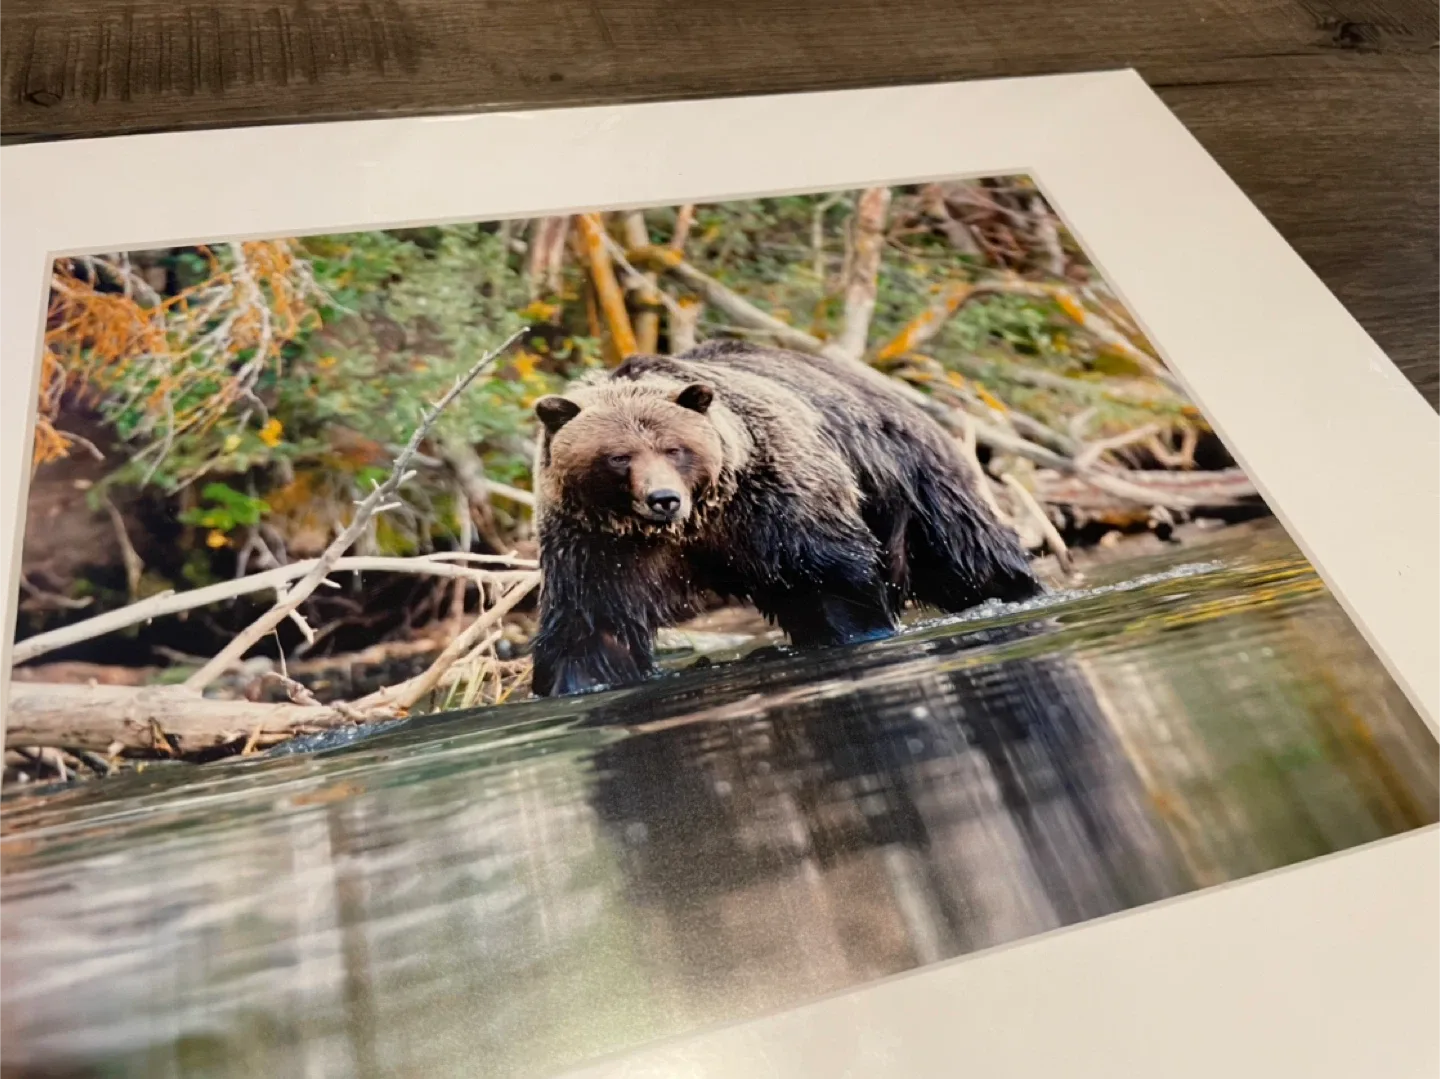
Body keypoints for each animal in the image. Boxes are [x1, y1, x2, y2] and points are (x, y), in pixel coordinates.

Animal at [527, 340, 1042, 698]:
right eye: (619, 457)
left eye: (674, 448)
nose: (663, 499)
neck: (695, 525)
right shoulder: (599, 545)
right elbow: (594, 626)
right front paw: (574, 681)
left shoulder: (775, 506)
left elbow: (832, 580)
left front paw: (856, 632)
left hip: (911, 484)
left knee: (969, 555)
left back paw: (1018, 591)